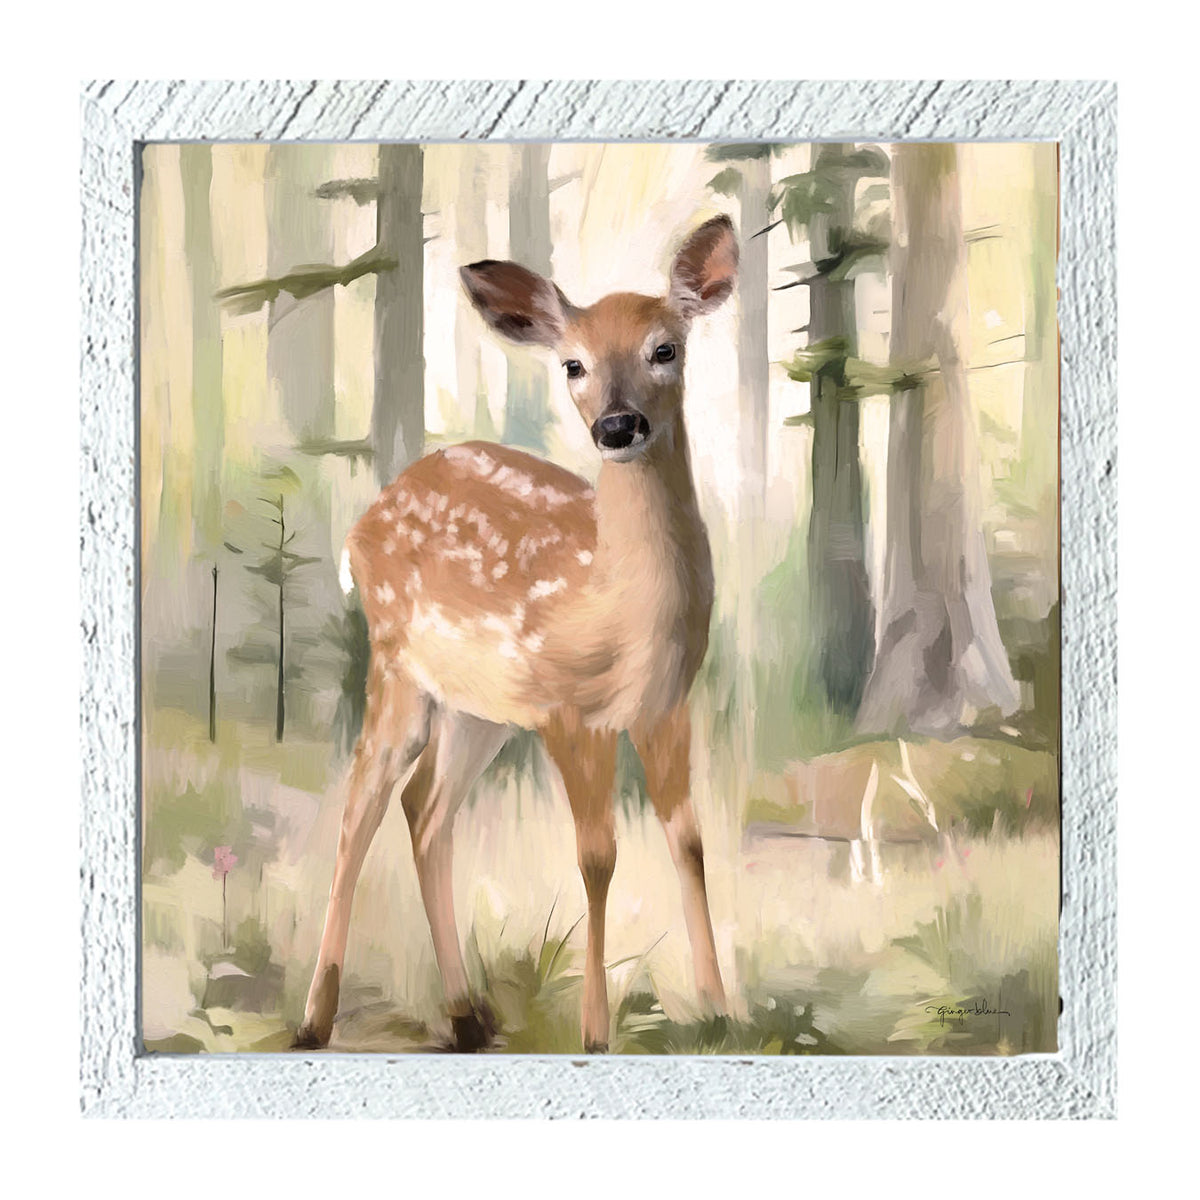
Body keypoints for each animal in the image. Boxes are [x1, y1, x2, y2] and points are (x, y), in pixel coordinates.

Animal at [294, 215, 738, 1053]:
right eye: (574, 364)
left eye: (666, 348)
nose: (618, 425)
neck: (621, 609)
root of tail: (366, 520)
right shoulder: (570, 712)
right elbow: (597, 858)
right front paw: (596, 1033)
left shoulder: (666, 706)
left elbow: (690, 841)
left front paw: (722, 1011)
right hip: (397, 665)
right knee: (360, 805)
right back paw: (314, 1018)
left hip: (480, 710)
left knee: (426, 811)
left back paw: (469, 1015)